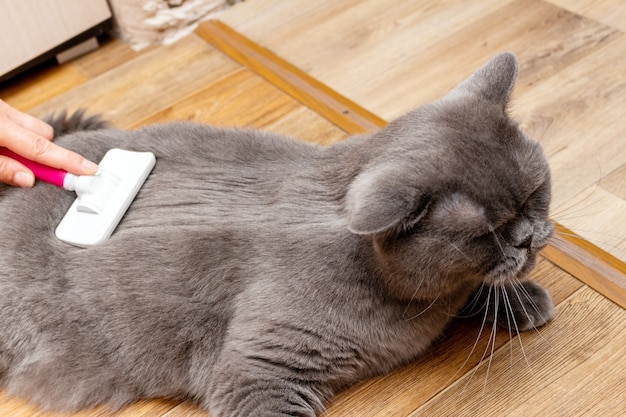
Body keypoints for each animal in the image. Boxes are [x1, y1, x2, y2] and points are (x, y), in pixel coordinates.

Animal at [1, 52, 552, 416]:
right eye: (490, 233)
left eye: (537, 193)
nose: (529, 237)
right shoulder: (258, 369)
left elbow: (476, 289)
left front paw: (523, 301)